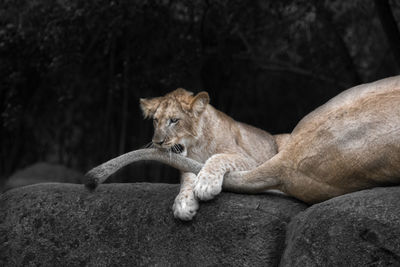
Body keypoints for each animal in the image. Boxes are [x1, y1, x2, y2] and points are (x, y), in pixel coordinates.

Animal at [141, 89, 278, 221]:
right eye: (156, 120)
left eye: (174, 120)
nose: (157, 142)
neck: (197, 146)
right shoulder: (186, 162)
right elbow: (187, 178)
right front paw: (184, 203)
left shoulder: (249, 160)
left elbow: (218, 157)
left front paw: (205, 185)